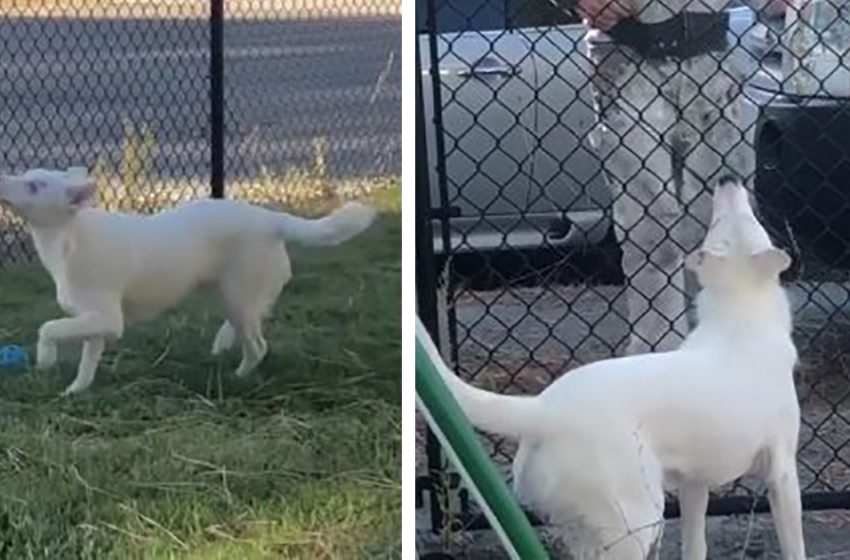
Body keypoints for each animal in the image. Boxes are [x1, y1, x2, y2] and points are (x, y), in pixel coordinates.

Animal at [0, 168, 374, 396]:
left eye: (34, 186)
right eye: (28, 176)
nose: (2, 177)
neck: (69, 235)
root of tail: (271, 218)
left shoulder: (107, 318)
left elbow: (48, 328)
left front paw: (45, 360)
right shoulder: (96, 324)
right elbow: (86, 362)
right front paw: (76, 390)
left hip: (238, 298)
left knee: (258, 346)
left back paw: (238, 378)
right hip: (236, 297)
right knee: (253, 322)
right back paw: (224, 343)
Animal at [428, 178, 804, 560]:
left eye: (734, 221)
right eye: (724, 222)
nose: (727, 179)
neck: (740, 311)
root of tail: (543, 408)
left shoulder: (694, 485)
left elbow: (695, 543)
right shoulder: (783, 474)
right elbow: (794, 544)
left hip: (587, 527)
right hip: (635, 520)